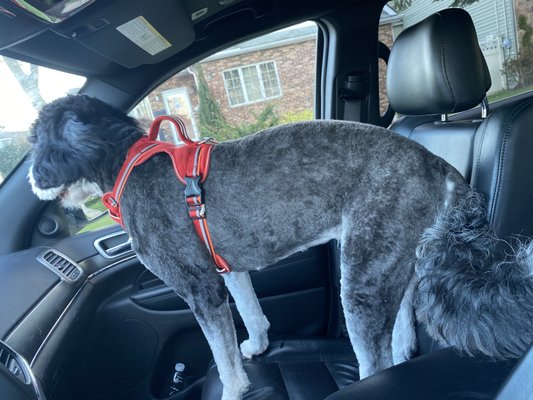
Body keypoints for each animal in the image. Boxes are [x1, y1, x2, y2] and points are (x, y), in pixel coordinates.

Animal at [28, 95, 532, 398]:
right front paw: (256, 344)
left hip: (362, 283)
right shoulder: (229, 270)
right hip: (395, 254)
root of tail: (436, 163)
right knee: (404, 324)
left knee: (377, 361)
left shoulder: (200, 289)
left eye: (36, 139)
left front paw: (233, 389)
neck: (128, 164)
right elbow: (251, 313)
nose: (32, 178)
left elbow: (221, 353)